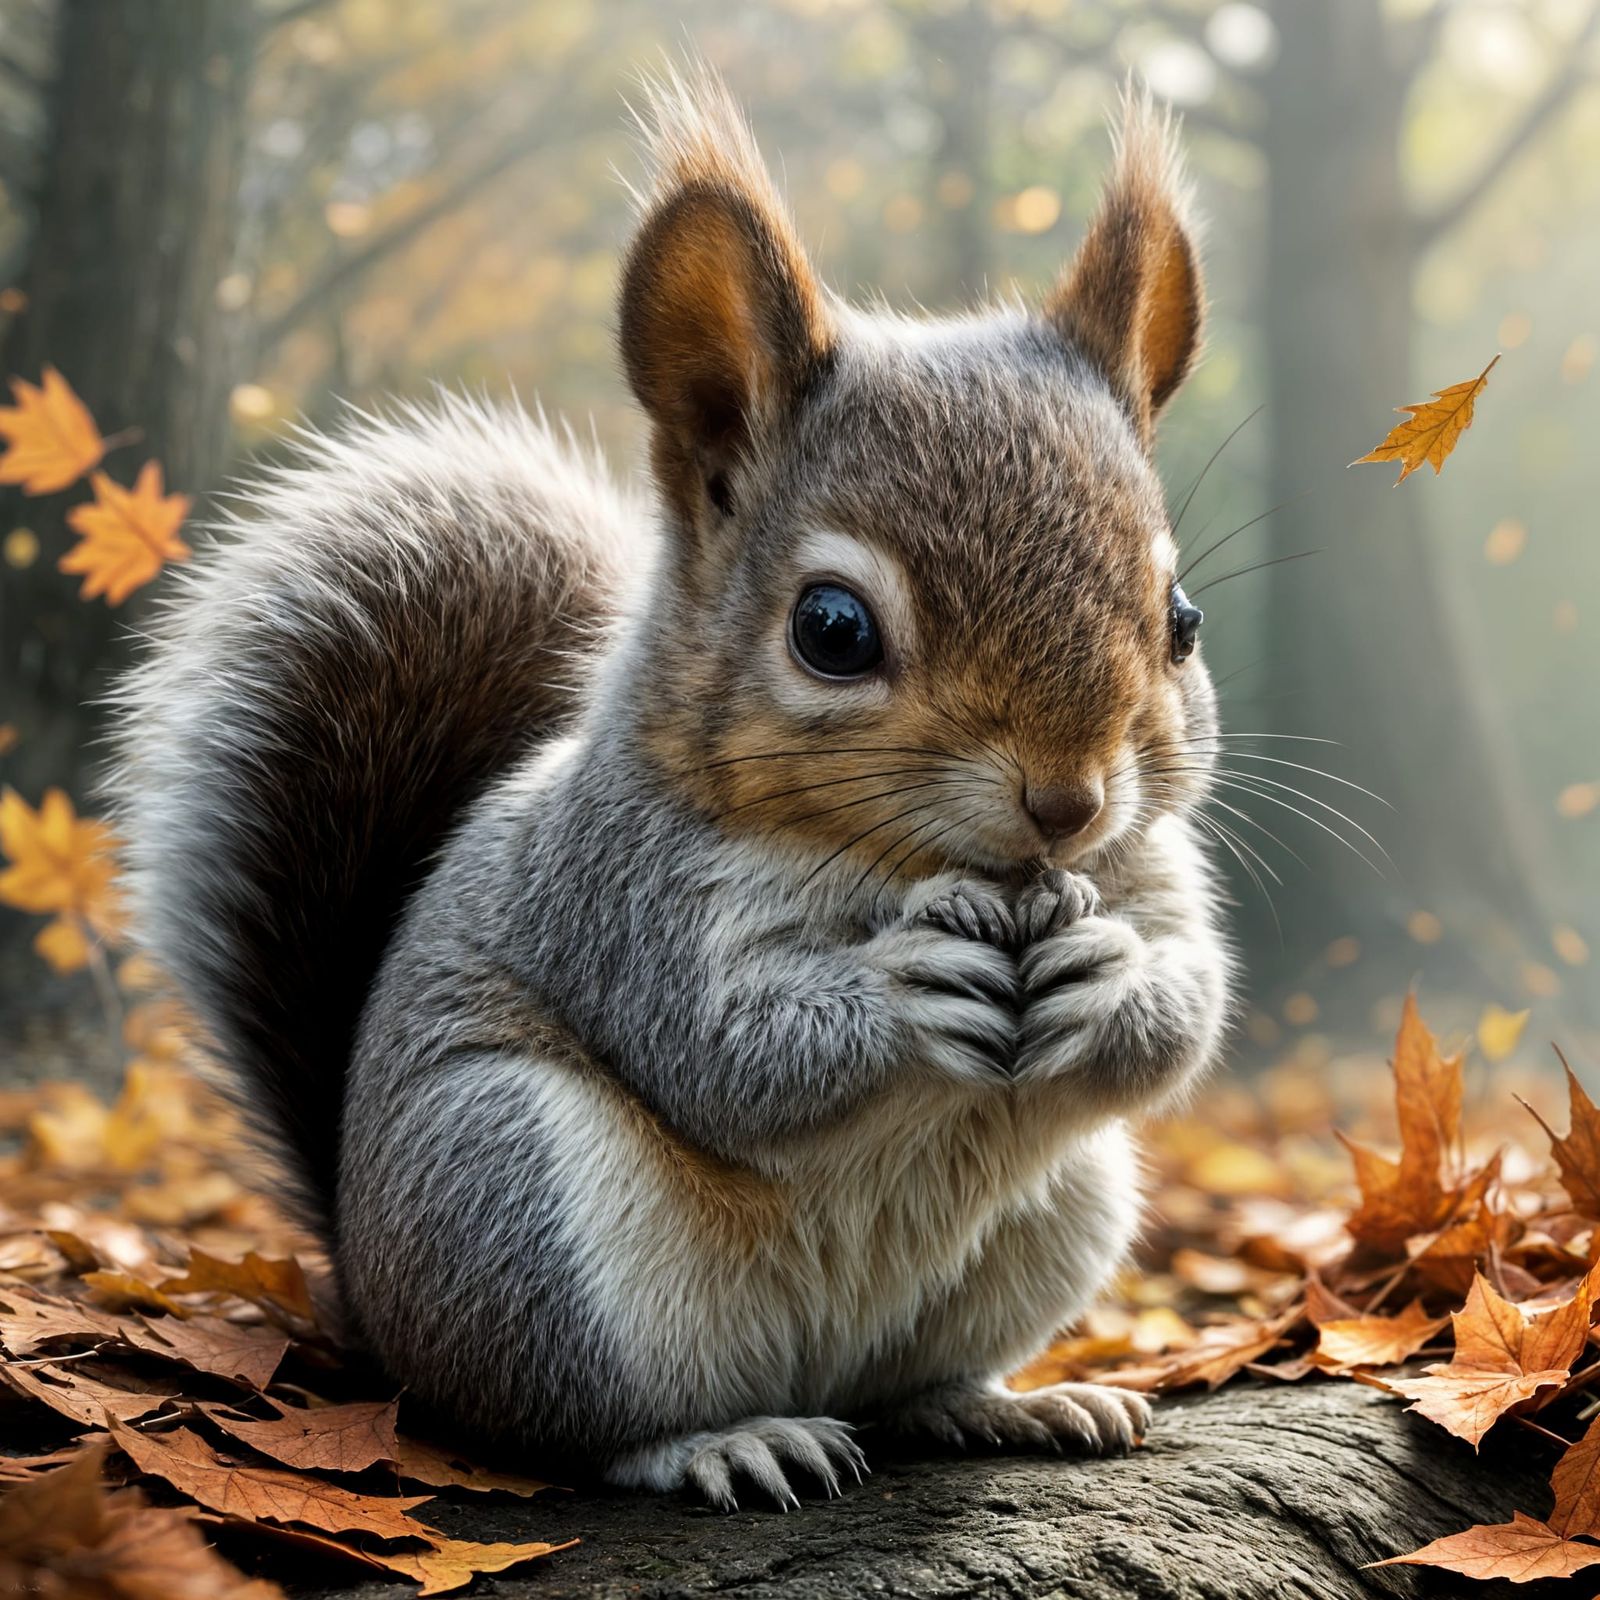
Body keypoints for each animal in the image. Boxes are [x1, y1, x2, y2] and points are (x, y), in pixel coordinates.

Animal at [112, 65, 1230, 1508]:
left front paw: (1113, 979)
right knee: (571, 1422)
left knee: (909, 1387)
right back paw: (725, 1441)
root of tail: (372, 1301)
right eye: (831, 630)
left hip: (1063, 1211)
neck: (922, 867)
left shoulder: (1156, 869)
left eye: (1183, 619)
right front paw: (899, 989)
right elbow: (717, 1050)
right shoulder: (625, 894)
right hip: (521, 1203)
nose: (1069, 802)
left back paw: (1007, 1404)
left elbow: (1189, 1005)